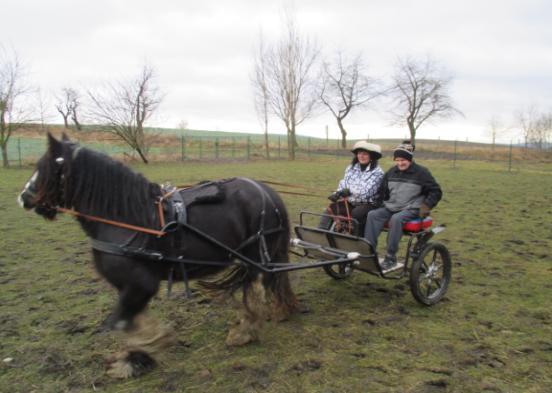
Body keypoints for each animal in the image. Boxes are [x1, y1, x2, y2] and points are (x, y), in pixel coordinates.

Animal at [18, 134, 298, 376]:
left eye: (44, 167)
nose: (23, 197)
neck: (124, 219)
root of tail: (268, 192)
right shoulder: (128, 287)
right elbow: (130, 320)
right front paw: (140, 355)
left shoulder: (141, 284)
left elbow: (121, 323)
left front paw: (138, 356)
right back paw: (277, 312)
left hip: (256, 256)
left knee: (255, 288)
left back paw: (245, 330)